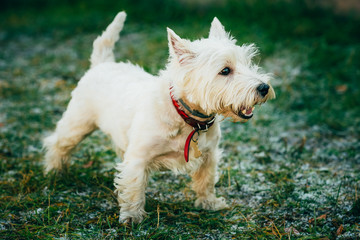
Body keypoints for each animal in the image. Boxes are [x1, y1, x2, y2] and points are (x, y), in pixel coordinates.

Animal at [44, 12, 276, 223]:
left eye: (248, 62)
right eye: (225, 70)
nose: (264, 88)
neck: (186, 117)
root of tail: (102, 64)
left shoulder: (209, 155)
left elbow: (206, 181)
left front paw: (209, 203)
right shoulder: (138, 158)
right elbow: (134, 188)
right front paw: (132, 217)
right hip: (78, 122)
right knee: (58, 143)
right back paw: (54, 172)